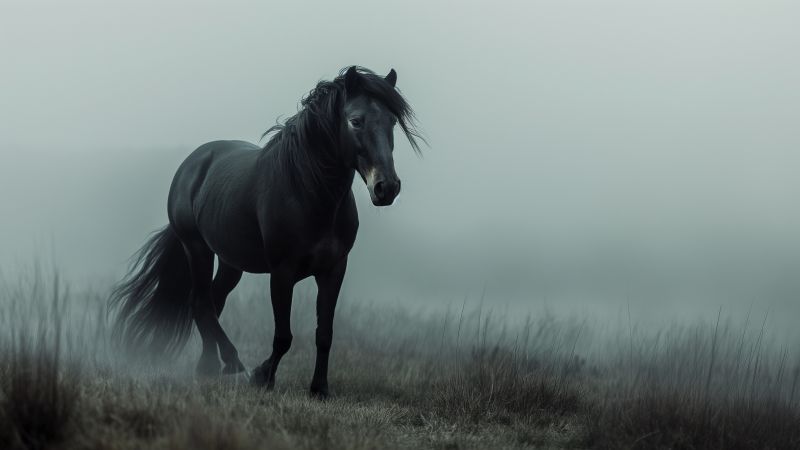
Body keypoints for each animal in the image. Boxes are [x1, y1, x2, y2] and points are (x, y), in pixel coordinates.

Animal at [109, 66, 422, 398]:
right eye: (356, 121)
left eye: (392, 121)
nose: (386, 188)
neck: (309, 192)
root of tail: (193, 163)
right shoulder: (282, 273)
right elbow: (283, 335)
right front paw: (262, 377)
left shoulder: (334, 270)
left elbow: (324, 333)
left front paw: (319, 389)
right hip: (197, 248)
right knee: (201, 302)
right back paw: (230, 362)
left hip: (230, 262)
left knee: (212, 302)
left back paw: (208, 366)